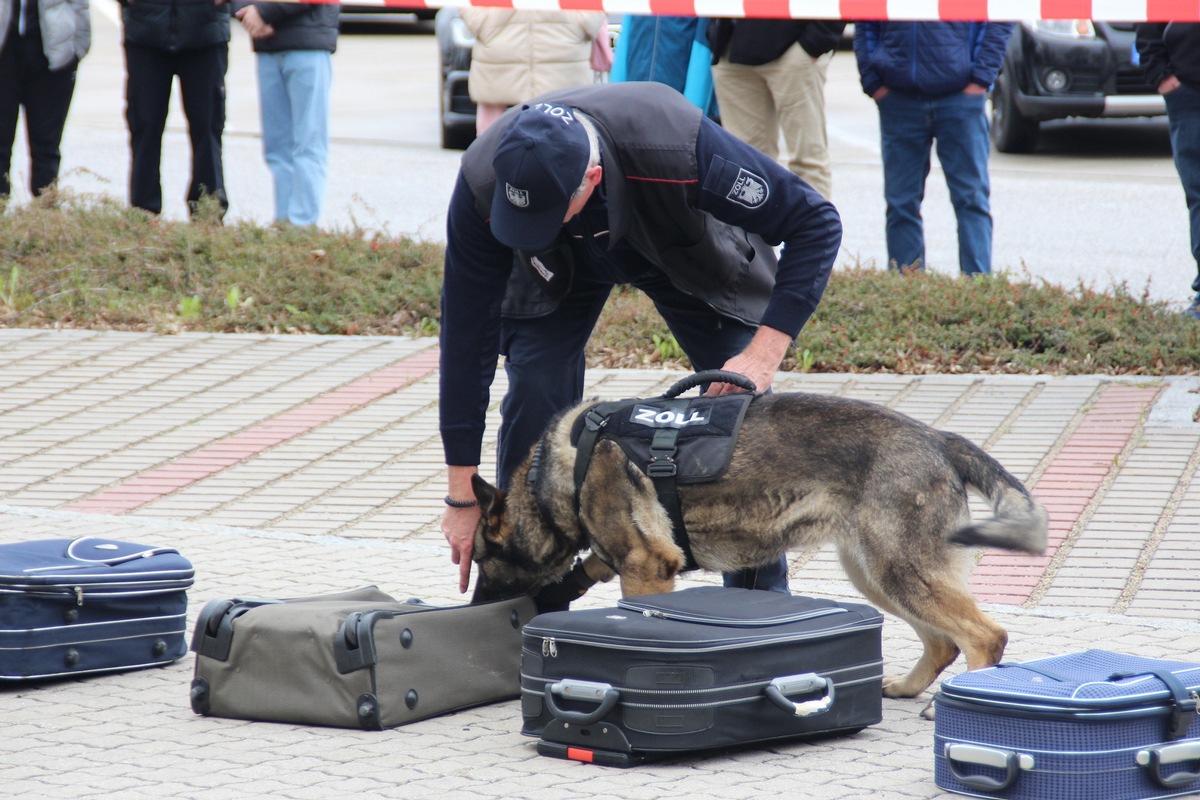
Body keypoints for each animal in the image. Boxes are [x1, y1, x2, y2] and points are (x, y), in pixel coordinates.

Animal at [468, 391, 1051, 705]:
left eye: (478, 560)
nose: (474, 611)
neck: (556, 475)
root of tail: (936, 436)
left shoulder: (647, 568)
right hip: (875, 574)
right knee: (943, 642)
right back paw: (909, 690)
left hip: (898, 572)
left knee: (986, 635)